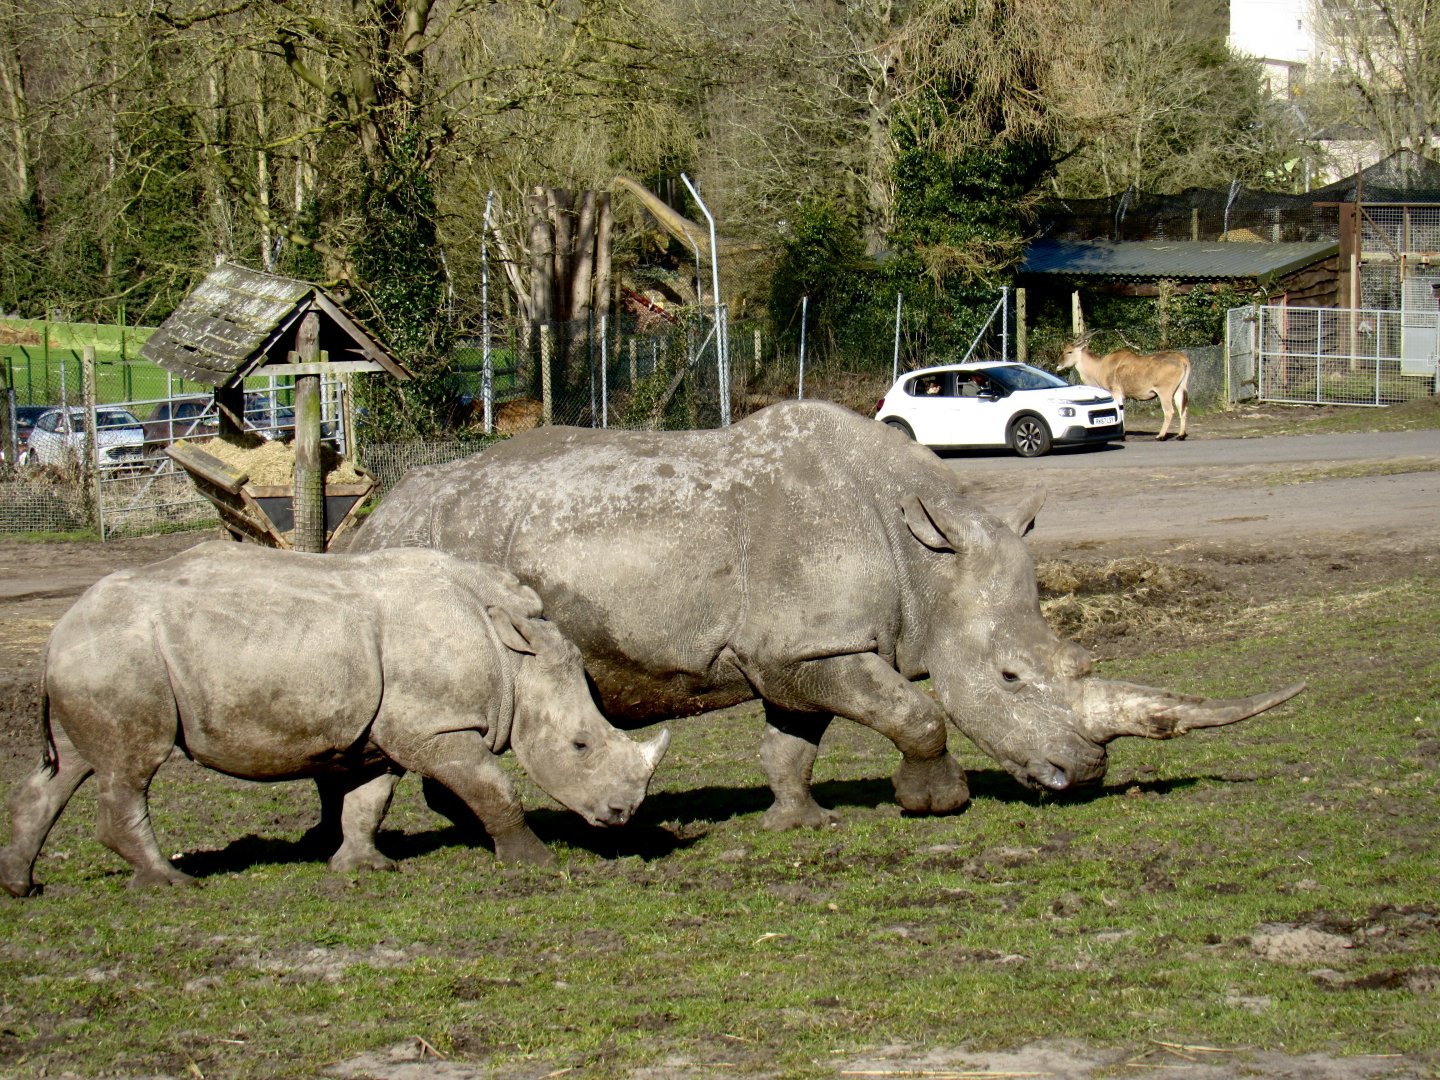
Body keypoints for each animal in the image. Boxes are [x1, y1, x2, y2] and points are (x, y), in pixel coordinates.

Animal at [0, 543, 670, 895]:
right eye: (580, 746)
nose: (621, 815)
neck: (513, 660)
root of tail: (58, 629)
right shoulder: (438, 729)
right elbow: (493, 788)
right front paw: (536, 863)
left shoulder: (385, 734)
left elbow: (368, 801)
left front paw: (365, 869)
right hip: (121, 655)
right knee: (131, 767)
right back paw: (173, 884)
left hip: (99, 654)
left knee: (75, 764)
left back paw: (22, 888)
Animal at [342, 400, 1302, 828]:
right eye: (1009, 676)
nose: (1085, 775)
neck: (926, 557)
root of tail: (376, 513)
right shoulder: (810, 647)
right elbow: (916, 712)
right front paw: (935, 804)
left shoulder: (794, 654)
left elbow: (792, 743)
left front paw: (799, 822)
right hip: (421, 552)